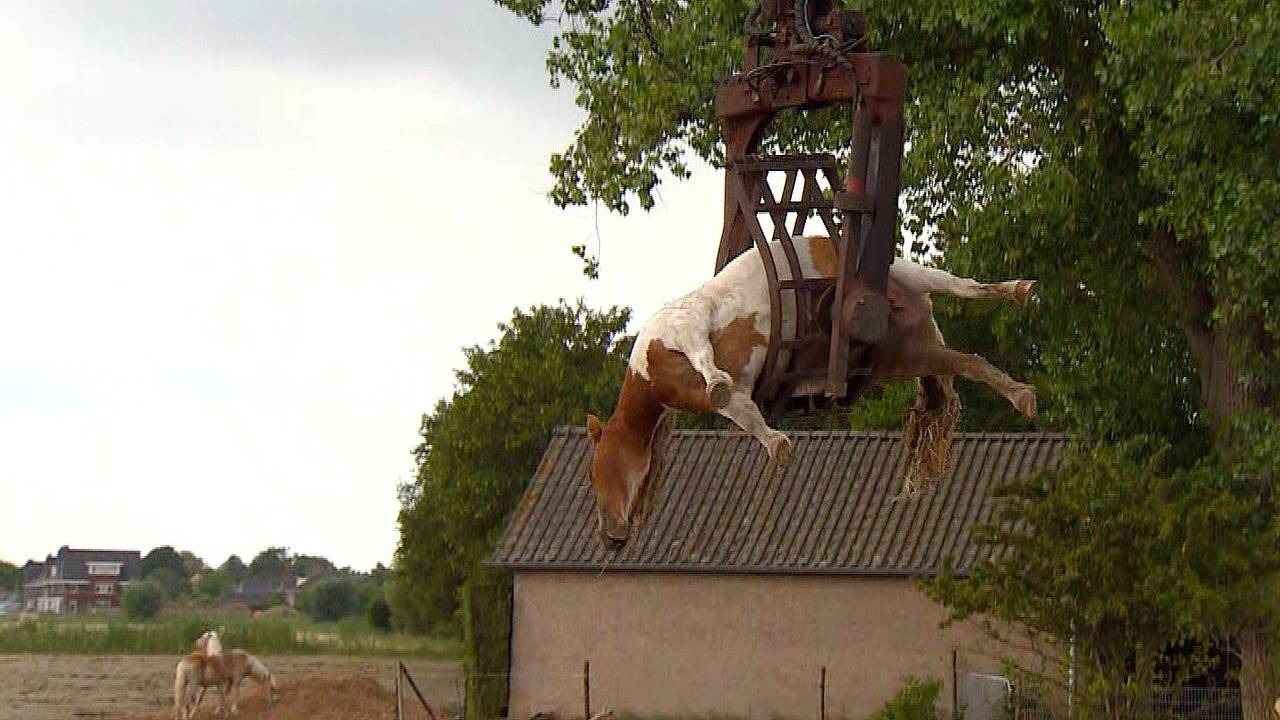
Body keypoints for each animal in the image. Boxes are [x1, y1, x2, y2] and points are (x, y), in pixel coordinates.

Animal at [585, 235, 1037, 549]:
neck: (650, 375)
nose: (609, 538)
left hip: (909, 276)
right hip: (908, 356)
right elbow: (740, 409)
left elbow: (714, 375)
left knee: (964, 287)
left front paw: (764, 432)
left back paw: (1018, 290)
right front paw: (777, 446)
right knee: (969, 362)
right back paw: (1022, 395)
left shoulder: (684, 330)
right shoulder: (723, 391)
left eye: (597, 471)